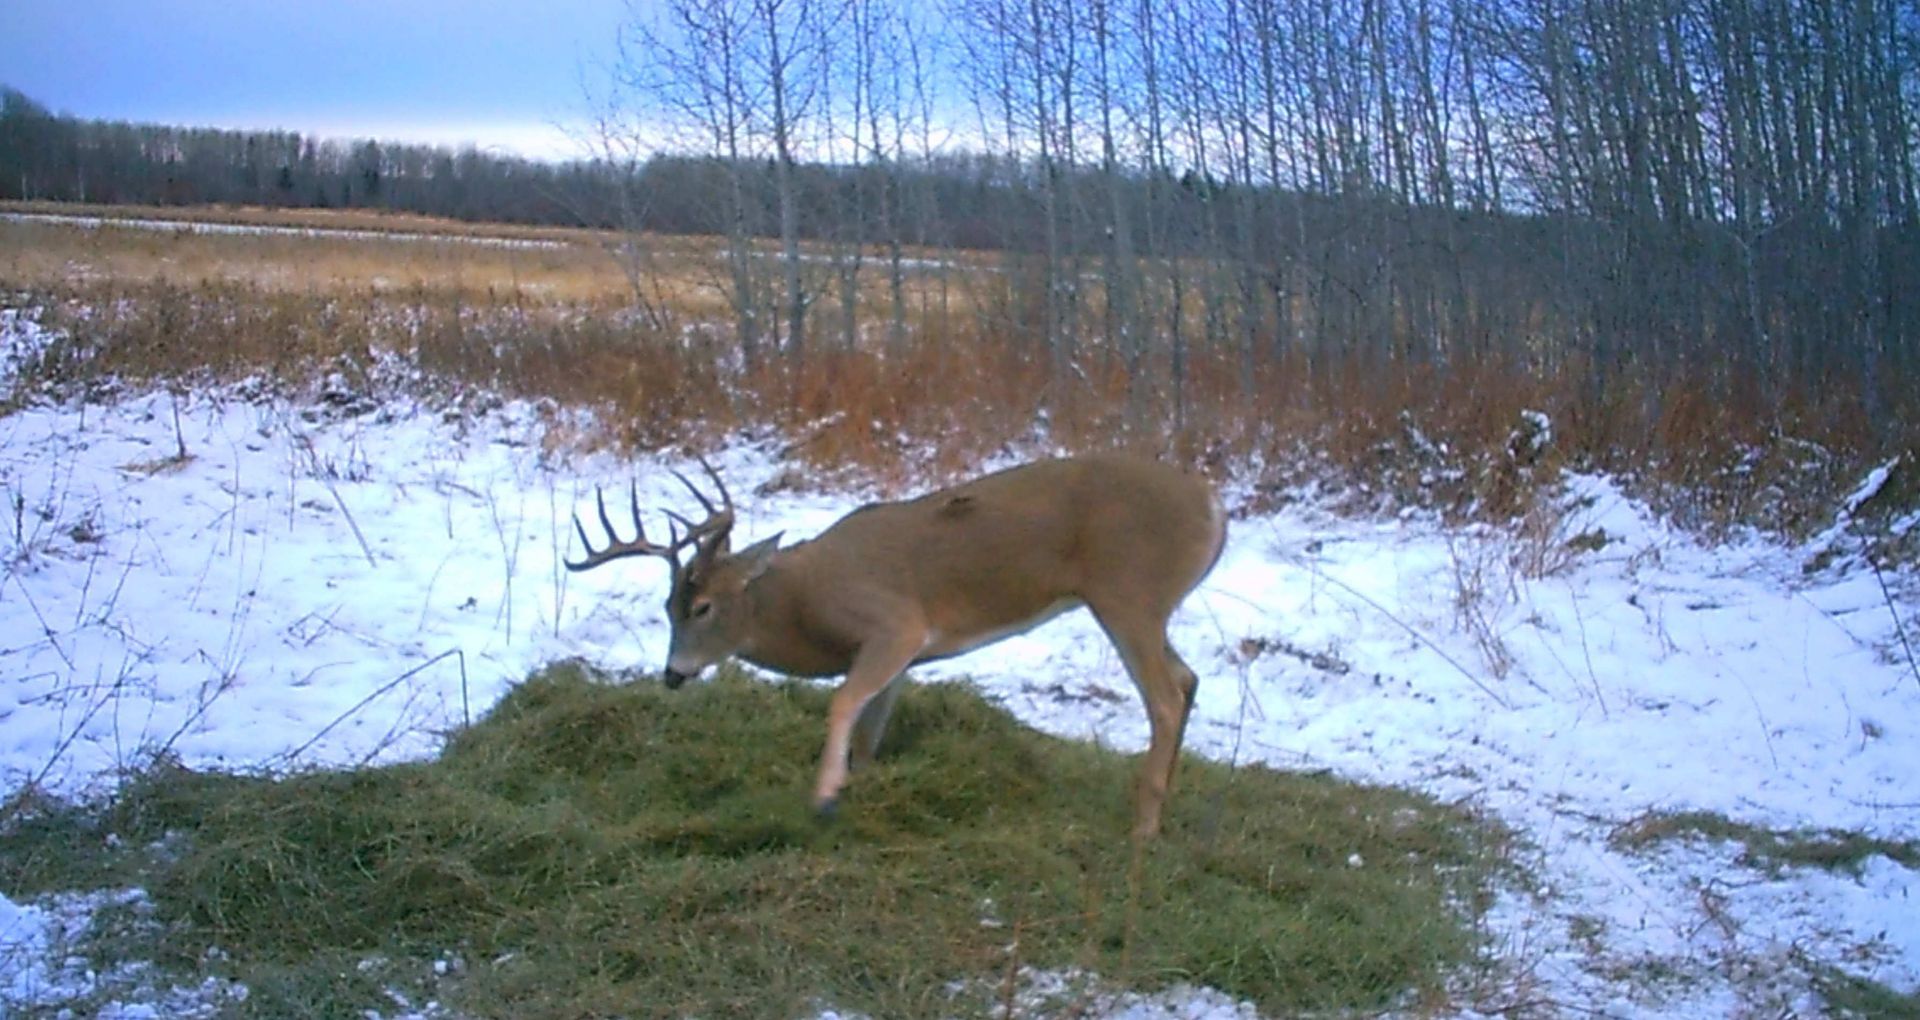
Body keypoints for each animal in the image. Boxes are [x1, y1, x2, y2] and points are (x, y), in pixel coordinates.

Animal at [565, 455, 1228, 839]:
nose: (672, 674)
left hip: (1126, 591)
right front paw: (854, 793)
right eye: (666, 609)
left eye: (702, 607)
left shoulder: (895, 624)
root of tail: (1213, 504)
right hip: (1141, 605)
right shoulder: (902, 658)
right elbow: (869, 733)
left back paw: (1143, 828)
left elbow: (841, 702)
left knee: (1165, 697)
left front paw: (823, 798)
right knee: (1188, 679)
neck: (803, 604)